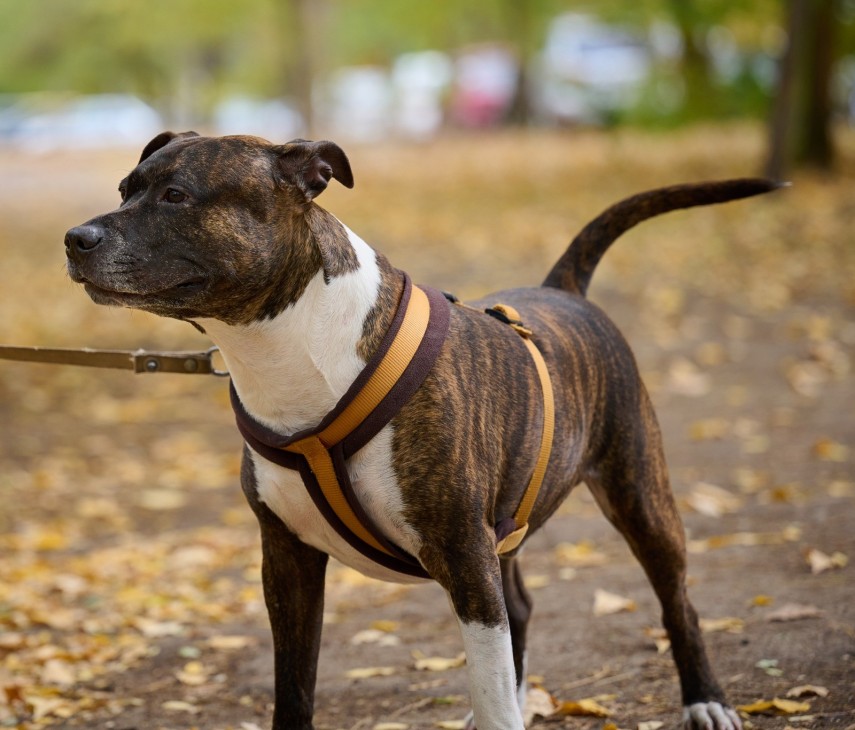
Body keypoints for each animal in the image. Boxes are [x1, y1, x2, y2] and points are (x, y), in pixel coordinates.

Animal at [63, 132, 780, 728]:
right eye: (125, 188)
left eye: (176, 195)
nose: (75, 238)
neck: (295, 351)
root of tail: (564, 290)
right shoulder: (288, 560)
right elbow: (293, 689)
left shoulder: (461, 552)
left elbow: (489, 689)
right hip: (504, 530)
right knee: (521, 608)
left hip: (637, 492)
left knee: (676, 599)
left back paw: (706, 701)